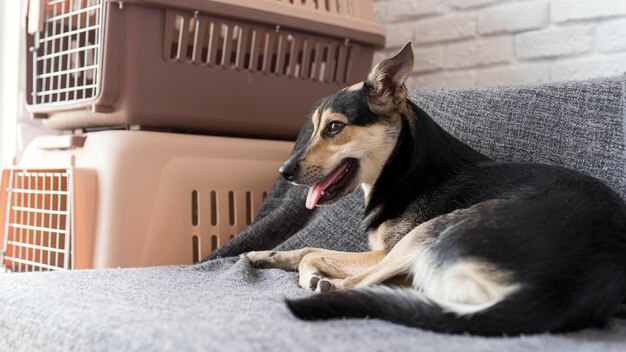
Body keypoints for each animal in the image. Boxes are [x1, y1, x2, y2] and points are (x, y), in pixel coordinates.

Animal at [244, 42, 624, 336]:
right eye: (313, 128)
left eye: (335, 127)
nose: (284, 172)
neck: (401, 166)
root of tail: (553, 295)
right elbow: (306, 247)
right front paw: (265, 255)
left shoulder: (384, 252)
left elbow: (314, 252)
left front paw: (309, 274)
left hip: (429, 233)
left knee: (360, 284)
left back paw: (328, 285)